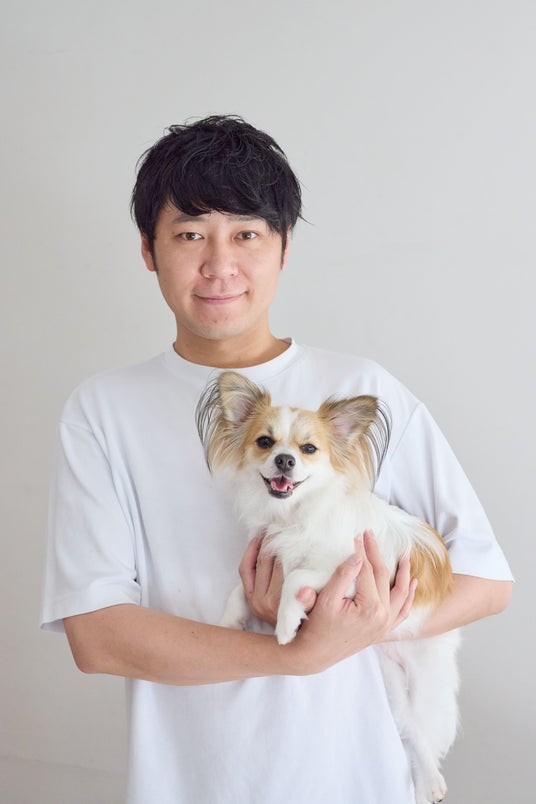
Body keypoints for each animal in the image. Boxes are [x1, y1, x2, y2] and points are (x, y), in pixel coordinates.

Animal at [196, 370, 460, 804]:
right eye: (265, 441)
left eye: (308, 449)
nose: (285, 459)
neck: (293, 515)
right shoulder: (266, 553)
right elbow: (239, 589)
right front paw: (229, 620)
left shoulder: (350, 569)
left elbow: (298, 577)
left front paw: (287, 624)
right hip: (391, 686)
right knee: (413, 733)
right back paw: (427, 782)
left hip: (424, 674)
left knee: (423, 731)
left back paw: (434, 782)